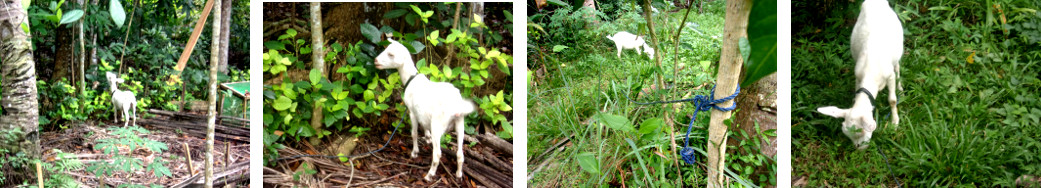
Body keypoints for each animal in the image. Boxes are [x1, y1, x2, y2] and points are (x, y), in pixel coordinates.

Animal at [374, 37, 476, 179]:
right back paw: (458, 175)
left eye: (391, 54)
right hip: (460, 123)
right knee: (460, 154)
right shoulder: (422, 113)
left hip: (437, 125)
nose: (375, 61)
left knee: (437, 154)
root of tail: (455, 104)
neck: (411, 79)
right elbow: (424, 126)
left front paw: (414, 152)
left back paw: (429, 175)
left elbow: (414, 133)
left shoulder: (412, 111)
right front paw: (427, 138)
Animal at [811, 0, 903, 149]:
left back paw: (901, 89)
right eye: (848, 135)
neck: (871, 74)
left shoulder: (889, 76)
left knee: (898, 67)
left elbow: (892, 100)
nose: (858, 149)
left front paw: (895, 122)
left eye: (862, 131)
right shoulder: (858, 77)